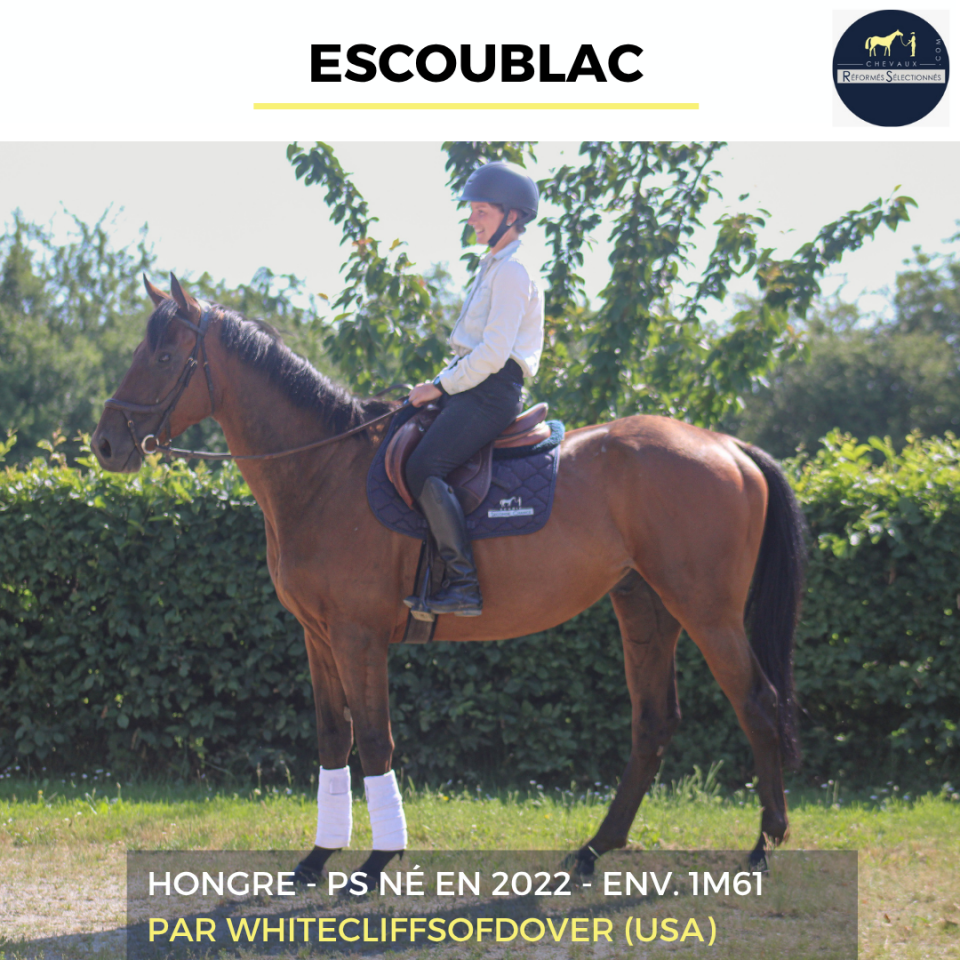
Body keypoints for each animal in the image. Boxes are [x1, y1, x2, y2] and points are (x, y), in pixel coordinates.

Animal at [92, 275, 806, 882]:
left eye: (164, 357)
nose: (104, 445)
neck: (323, 470)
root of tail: (728, 446)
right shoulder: (318, 638)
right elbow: (333, 738)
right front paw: (318, 857)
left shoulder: (357, 638)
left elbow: (374, 741)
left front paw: (377, 863)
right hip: (645, 606)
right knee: (655, 722)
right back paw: (594, 849)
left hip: (706, 610)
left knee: (757, 704)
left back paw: (762, 846)